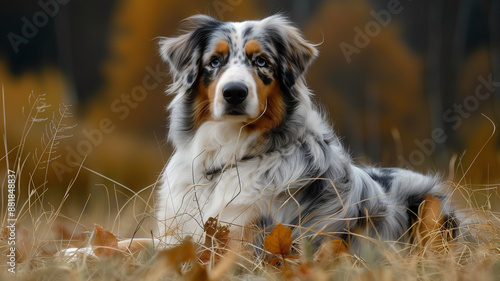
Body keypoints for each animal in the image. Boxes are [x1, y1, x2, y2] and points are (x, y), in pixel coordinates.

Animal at [155, 14, 458, 253]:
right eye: (215, 61)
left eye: (262, 61)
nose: (234, 93)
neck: (231, 153)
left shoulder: (249, 241)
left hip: (430, 208)